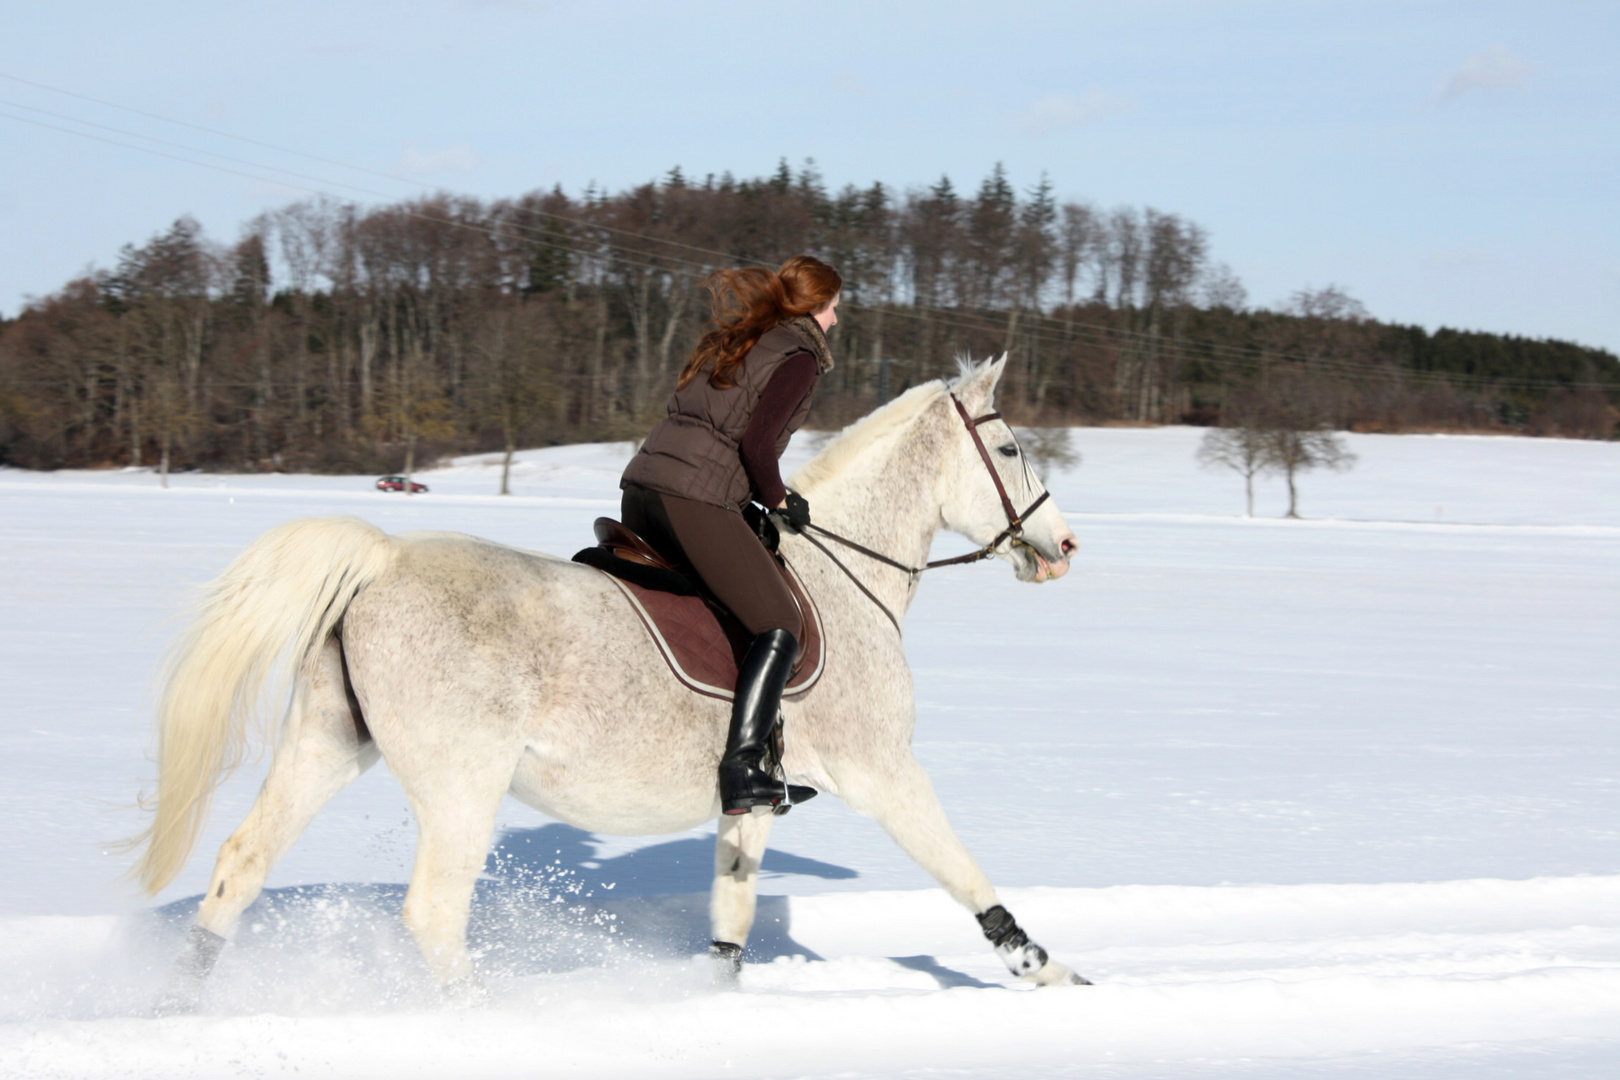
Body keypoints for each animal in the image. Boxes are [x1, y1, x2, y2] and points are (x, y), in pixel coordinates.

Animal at [136, 359, 1088, 1003]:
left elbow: (732, 913)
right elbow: (963, 873)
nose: (1064, 547)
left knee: (240, 865)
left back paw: (177, 1001)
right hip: (459, 785)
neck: (845, 579)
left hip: (329, 743)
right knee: (434, 912)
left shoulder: (754, 791)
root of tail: (382, 560)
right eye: (1009, 446)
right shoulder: (884, 771)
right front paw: (1047, 970)